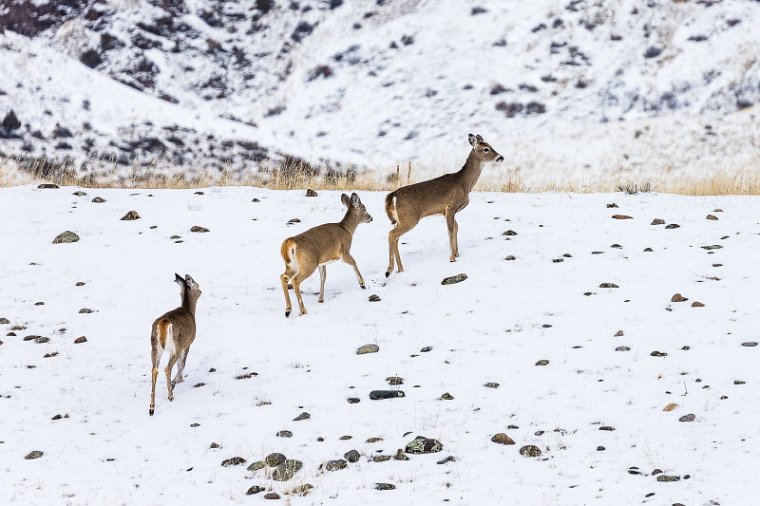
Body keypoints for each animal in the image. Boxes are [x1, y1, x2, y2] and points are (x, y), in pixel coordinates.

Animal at [148, 272, 202, 416]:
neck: (190, 310)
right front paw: (176, 382)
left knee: (154, 370)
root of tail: (164, 322)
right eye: (197, 284)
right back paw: (170, 395)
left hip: (154, 347)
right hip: (176, 346)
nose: (201, 291)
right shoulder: (187, 343)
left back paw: (151, 407)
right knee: (167, 368)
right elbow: (182, 364)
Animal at [386, 133, 504, 276]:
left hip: (400, 220)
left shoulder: (449, 211)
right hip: (409, 218)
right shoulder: (450, 207)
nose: (500, 157)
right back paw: (389, 270)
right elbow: (450, 230)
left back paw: (400, 269)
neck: (464, 183)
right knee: (392, 235)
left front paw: (457, 253)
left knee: (396, 238)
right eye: (486, 149)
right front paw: (452, 258)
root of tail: (393, 195)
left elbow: (456, 227)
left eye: (491, 146)